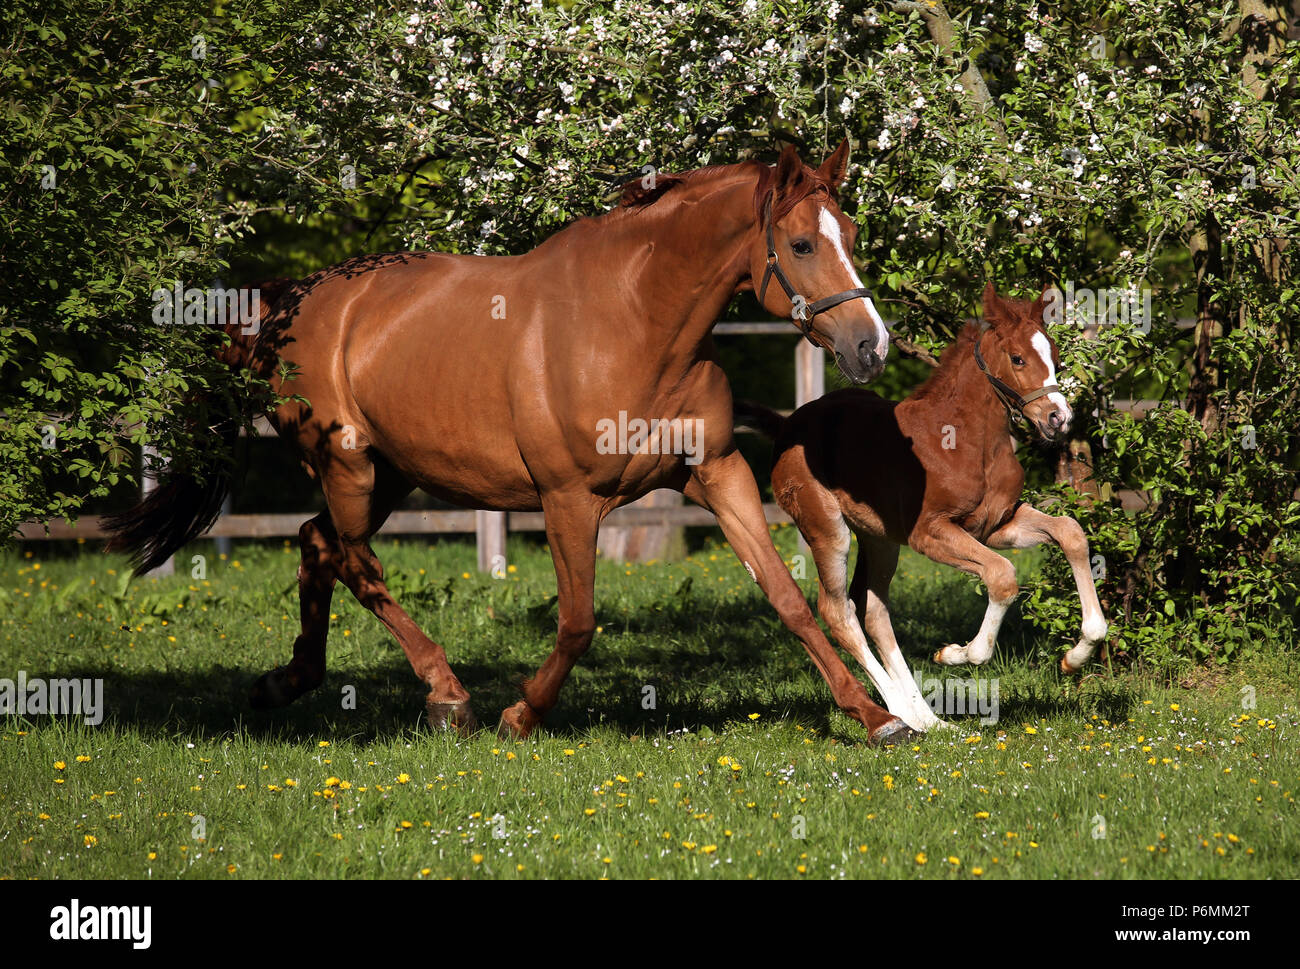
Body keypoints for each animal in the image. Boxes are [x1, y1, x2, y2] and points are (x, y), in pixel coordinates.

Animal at [106, 141, 915, 738]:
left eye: (851, 235)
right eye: (803, 243)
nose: (871, 347)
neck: (634, 325)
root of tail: (289, 305)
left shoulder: (714, 473)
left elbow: (786, 596)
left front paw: (873, 716)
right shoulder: (568, 500)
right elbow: (579, 621)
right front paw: (520, 714)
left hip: (392, 473)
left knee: (316, 543)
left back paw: (290, 681)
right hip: (345, 463)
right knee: (354, 560)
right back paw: (447, 695)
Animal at [743, 283, 1107, 728]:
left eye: (1055, 356)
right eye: (1018, 358)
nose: (1059, 418)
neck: (968, 441)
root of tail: (786, 426)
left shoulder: (998, 524)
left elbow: (1070, 533)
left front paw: (1078, 654)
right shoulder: (930, 532)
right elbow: (1002, 576)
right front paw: (956, 654)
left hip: (881, 539)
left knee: (873, 609)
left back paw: (926, 720)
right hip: (828, 528)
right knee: (837, 610)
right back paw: (896, 718)